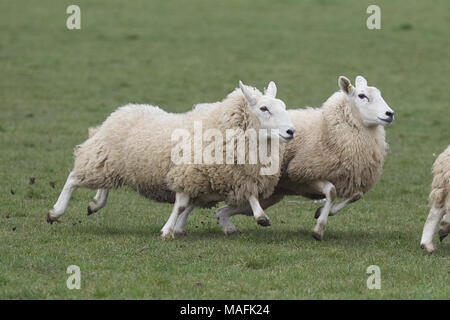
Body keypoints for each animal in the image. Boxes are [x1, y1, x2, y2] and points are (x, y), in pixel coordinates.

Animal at [47, 81, 298, 239]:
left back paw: (95, 202)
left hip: (112, 165)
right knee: (72, 178)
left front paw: (260, 217)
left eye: (284, 107)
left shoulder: (235, 175)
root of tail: (120, 111)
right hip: (102, 158)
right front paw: (167, 230)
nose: (291, 131)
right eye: (264, 108)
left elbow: (250, 195)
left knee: (103, 185)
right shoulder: (188, 173)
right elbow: (181, 205)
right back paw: (56, 211)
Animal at [214, 75, 394, 240]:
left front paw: (321, 212)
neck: (327, 129)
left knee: (223, 210)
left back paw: (229, 226)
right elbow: (332, 191)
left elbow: (357, 195)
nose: (390, 114)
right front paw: (318, 229)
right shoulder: (302, 175)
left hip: (270, 193)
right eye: (362, 96)